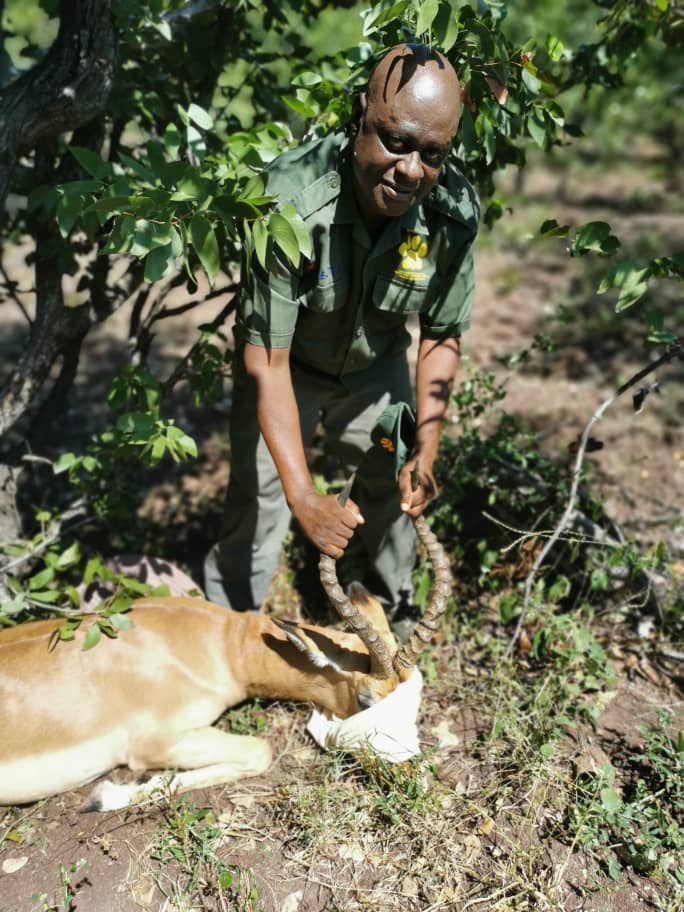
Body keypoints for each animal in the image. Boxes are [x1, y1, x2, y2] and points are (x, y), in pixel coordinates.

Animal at [0, 516, 448, 808]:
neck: (219, 646)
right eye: (365, 701)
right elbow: (260, 750)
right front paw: (105, 795)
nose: (412, 775)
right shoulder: (153, 743)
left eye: (415, 696)